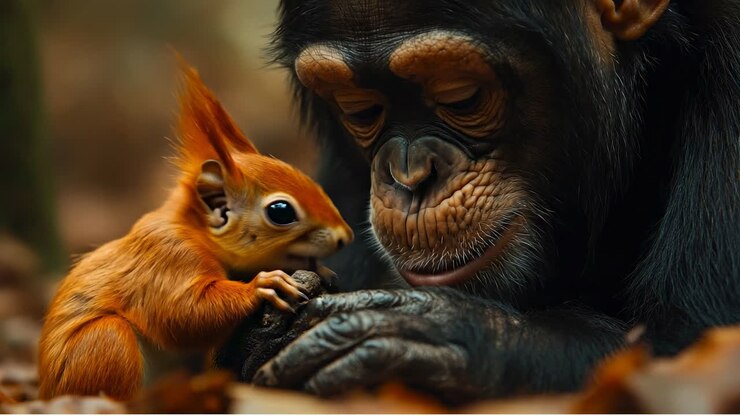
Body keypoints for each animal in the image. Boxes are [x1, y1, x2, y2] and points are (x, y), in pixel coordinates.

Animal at [38, 60, 353, 401]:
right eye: (280, 212)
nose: (345, 236)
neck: (195, 233)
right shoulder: (169, 258)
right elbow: (185, 312)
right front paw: (263, 284)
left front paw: (321, 270)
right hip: (104, 344)